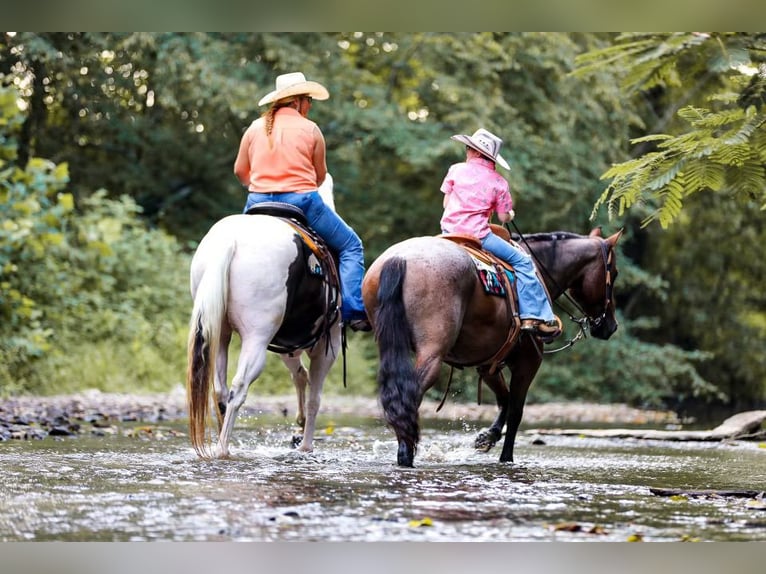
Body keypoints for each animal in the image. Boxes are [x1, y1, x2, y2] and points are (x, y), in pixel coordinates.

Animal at [186, 181, 341, 459]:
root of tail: (231, 241)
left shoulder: (289, 344)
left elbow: (299, 375)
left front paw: (299, 427)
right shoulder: (327, 344)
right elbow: (315, 398)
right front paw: (306, 445)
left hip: (220, 334)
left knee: (220, 389)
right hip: (257, 338)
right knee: (238, 387)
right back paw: (223, 448)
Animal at [361, 227, 622, 467]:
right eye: (614, 273)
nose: (610, 326)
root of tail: (400, 259)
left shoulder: (487, 363)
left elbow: (504, 399)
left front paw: (487, 437)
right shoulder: (528, 361)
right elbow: (516, 411)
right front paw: (506, 457)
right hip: (432, 353)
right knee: (409, 397)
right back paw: (407, 454)